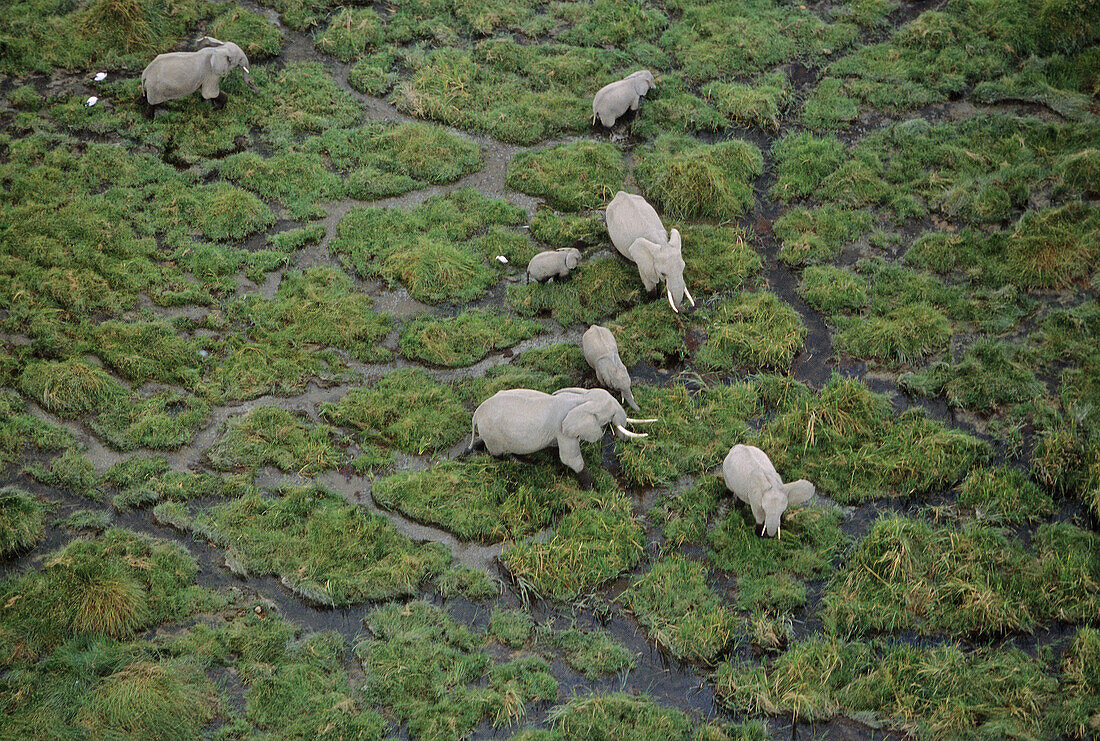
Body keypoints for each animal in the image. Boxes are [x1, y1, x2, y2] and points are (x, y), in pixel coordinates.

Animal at [466, 384, 651, 488]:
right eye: (611, 414)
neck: (581, 400)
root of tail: (476, 416)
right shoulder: (563, 430)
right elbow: (570, 459)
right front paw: (593, 488)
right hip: (494, 435)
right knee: (499, 455)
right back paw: (525, 463)